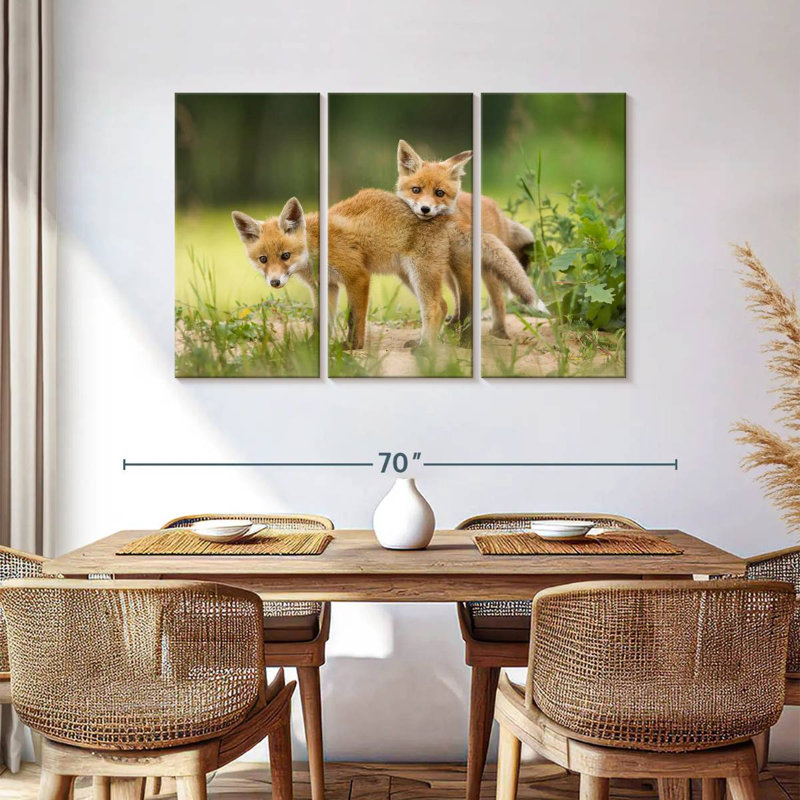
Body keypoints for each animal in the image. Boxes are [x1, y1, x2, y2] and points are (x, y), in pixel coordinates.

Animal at [395, 139, 548, 339]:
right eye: (416, 190)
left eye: (439, 193)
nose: (425, 209)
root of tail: (496, 208)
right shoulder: (451, 269)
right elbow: (460, 301)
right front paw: (455, 327)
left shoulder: (463, 267)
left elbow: (467, 302)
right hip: (449, 272)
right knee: (459, 298)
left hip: (487, 270)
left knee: (498, 301)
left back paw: (499, 332)